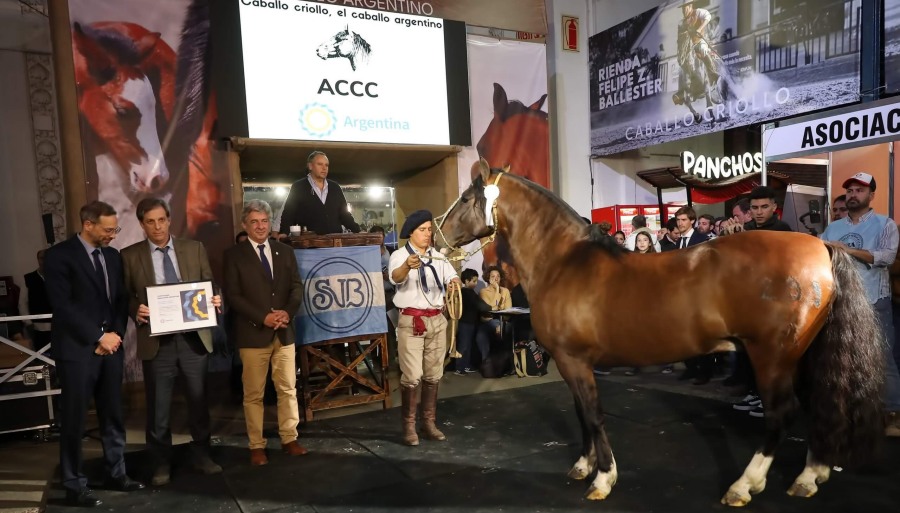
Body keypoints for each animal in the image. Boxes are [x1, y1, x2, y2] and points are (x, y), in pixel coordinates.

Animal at [436, 160, 885, 507]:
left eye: (465, 199)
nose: (437, 240)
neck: (564, 262)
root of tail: (820, 247)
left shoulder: (575, 360)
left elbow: (593, 414)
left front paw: (603, 478)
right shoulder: (570, 363)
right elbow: (581, 413)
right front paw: (583, 466)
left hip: (771, 357)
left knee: (782, 413)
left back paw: (745, 484)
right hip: (804, 354)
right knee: (817, 405)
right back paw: (810, 476)